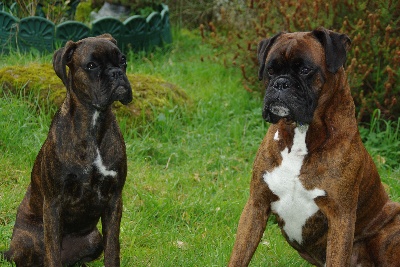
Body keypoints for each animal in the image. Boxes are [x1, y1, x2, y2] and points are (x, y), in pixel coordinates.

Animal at [2, 34, 133, 266]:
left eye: (123, 60)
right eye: (91, 65)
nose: (116, 73)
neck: (93, 122)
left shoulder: (114, 200)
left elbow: (112, 249)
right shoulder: (54, 205)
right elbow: (52, 252)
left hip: (94, 238)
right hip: (27, 240)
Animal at [228, 26, 400, 266]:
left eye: (305, 70)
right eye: (270, 70)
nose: (280, 83)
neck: (300, 137)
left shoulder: (340, 217)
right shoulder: (256, 205)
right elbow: (239, 255)